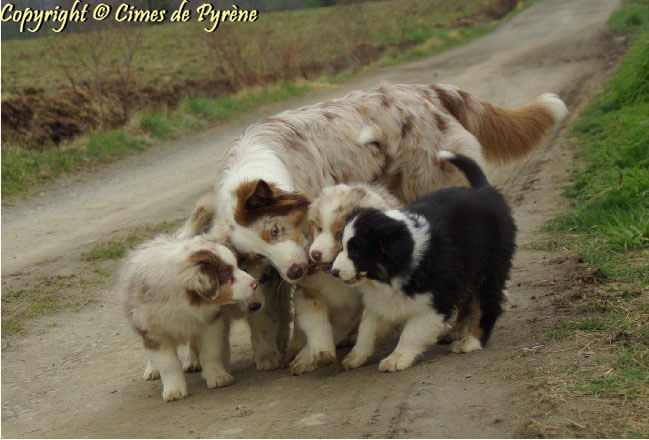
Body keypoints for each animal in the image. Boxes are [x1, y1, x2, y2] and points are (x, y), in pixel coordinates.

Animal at [332, 150, 512, 372]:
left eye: (356, 250)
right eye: (342, 245)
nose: (334, 272)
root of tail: (484, 190)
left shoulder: (436, 301)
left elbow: (411, 332)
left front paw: (397, 358)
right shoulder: (381, 300)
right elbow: (367, 329)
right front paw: (355, 357)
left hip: (490, 269)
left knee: (486, 305)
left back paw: (471, 341)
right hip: (465, 273)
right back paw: (455, 332)